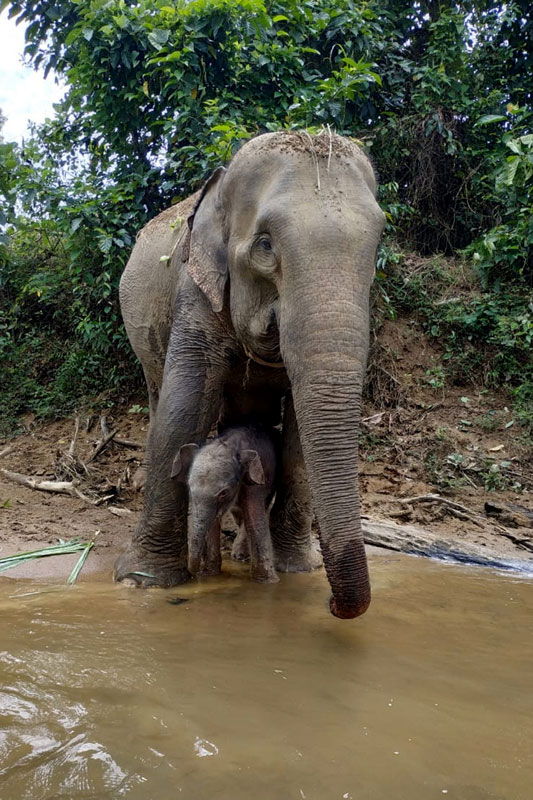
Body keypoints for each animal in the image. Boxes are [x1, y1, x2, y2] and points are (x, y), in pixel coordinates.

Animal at [170, 428, 278, 584]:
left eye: (224, 493)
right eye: (189, 487)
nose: (193, 575)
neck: (230, 444)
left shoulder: (256, 479)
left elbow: (255, 519)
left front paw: (268, 582)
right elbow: (214, 521)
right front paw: (209, 574)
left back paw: (239, 556)